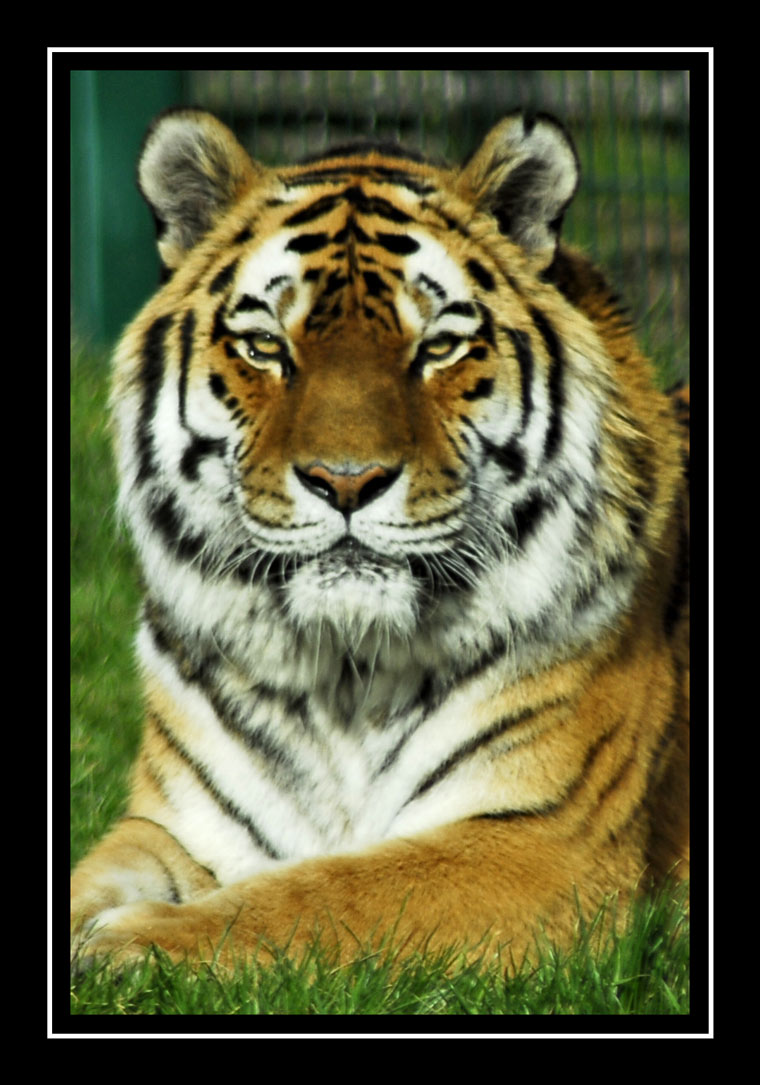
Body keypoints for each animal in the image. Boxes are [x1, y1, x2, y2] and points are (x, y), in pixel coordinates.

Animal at [70, 108, 689, 970]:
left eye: (438, 347)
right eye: (266, 346)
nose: (346, 481)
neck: (343, 678)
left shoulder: (544, 843)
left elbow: (320, 894)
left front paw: (129, 939)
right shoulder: (175, 826)